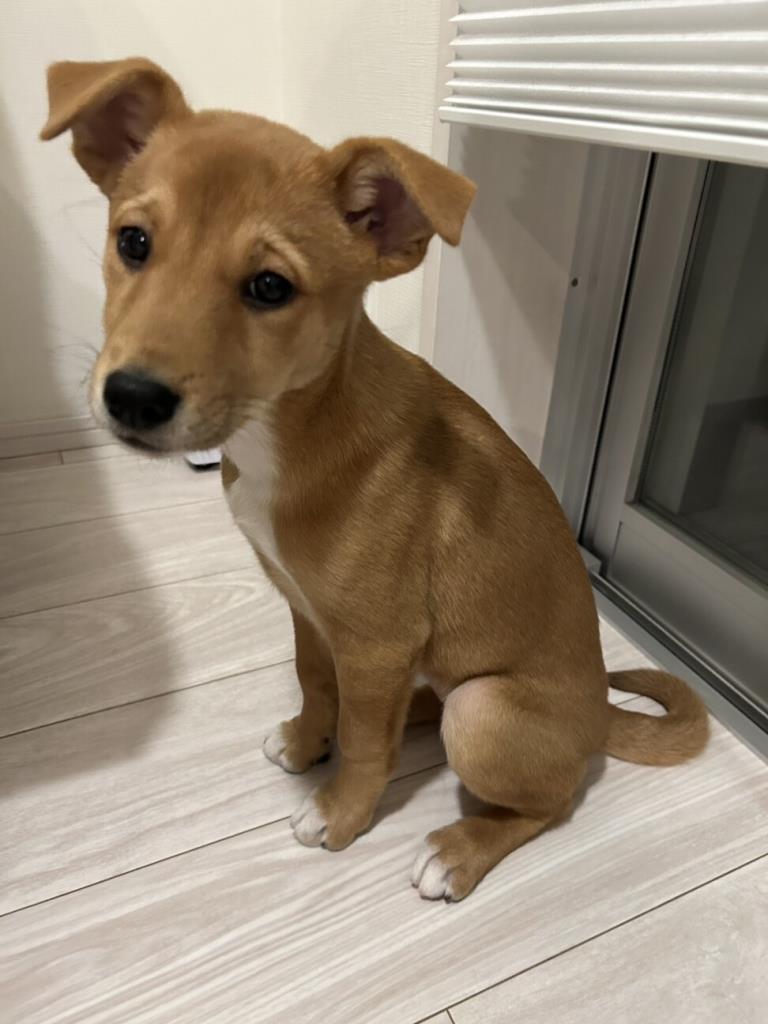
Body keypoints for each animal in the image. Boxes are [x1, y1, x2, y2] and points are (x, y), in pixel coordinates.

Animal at [41, 58, 709, 901]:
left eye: (270, 287)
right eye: (133, 242)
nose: (132, 397)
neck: (294, 430)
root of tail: (598, 716)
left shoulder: (378, 638)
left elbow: (364, 745)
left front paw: (340, 813)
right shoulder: (309, 609)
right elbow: (318, 686)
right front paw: (307, 740)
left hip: (484, 708)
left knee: (549, 801)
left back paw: (459, 849)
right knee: (415, 710)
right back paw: (414, 714)